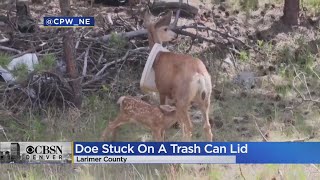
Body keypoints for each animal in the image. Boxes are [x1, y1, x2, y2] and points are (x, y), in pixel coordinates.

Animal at [142, 9, 212, 141]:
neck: (158, 57)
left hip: (183, 100)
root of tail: (200, 76)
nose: (175, 36)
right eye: (165, 28)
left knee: (190, 126)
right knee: (207, 127)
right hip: (204, 99)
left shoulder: (162, 90)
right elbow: (179, 123)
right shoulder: (172, 97)